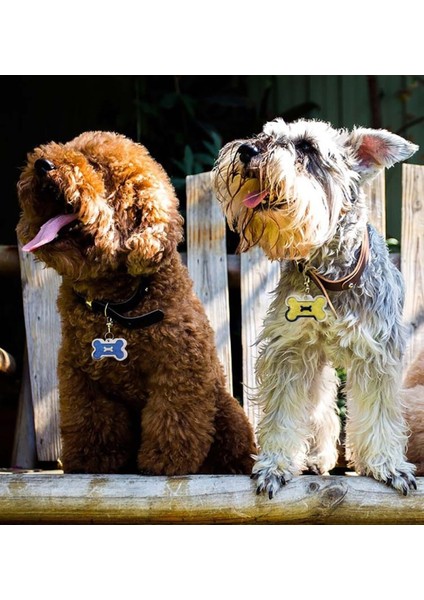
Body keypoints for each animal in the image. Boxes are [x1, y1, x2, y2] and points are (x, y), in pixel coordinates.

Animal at [16, 131, 255, 474]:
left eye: (96, 166)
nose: (42, 164)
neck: (113, 305)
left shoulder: (179, 371)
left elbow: (173, 419)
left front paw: (164, 461)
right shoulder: (81, 378)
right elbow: (92, 423)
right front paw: (93, 460)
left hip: (227, 412)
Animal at [214, 117, 420, 496]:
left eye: (307, 147)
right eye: (266, 134)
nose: (246, 150)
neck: (329, 270)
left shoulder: (376, 354)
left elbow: (379, 413)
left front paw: (387, 464)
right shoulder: (292, 350)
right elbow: (284, 412)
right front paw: (275, 464)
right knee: (320, 408)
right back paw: (314, 457)